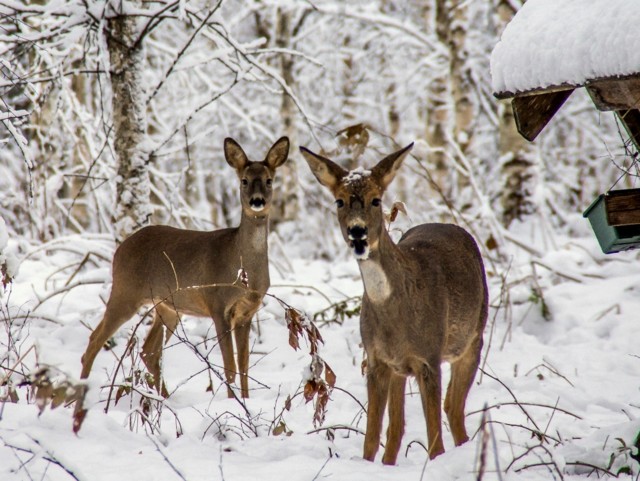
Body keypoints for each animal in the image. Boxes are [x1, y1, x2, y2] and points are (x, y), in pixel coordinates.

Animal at [72, 137, 288, 430]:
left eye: (269, 180)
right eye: (244, 180)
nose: (257, 201)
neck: (242, 268)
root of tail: (120, 248)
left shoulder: (247, 312)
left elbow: (244, 365)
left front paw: (247, 403)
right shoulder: (218, 305)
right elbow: (230, 364)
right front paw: (234, 406)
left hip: (167, 307)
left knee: (149, 350)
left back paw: (165, 401)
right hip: (125, 291)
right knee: (95, 340)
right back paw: (81, 403)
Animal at [302, 141, 488, 464]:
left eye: (376, 200)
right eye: (339, 201)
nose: (357, 232)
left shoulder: (429, 357)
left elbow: (434, 440)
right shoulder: (377, 360)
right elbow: (372, 436)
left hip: (473, 338)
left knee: (453, 407)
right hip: (401, 368)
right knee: (399, 427)